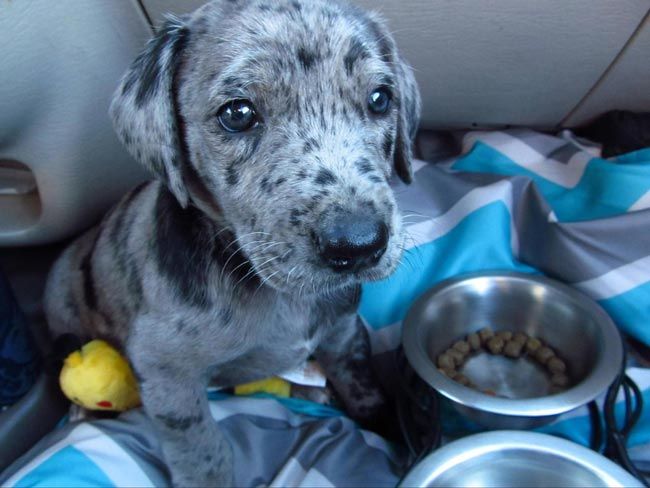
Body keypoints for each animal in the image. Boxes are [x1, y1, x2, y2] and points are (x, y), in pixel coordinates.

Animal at [45, 0, 420, 484]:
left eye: (380, 99)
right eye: (237, 113)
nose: (358, 244)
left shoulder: (343, 332)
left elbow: (364, 388)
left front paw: (392, 429)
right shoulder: (166, 372)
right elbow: (201, 449)